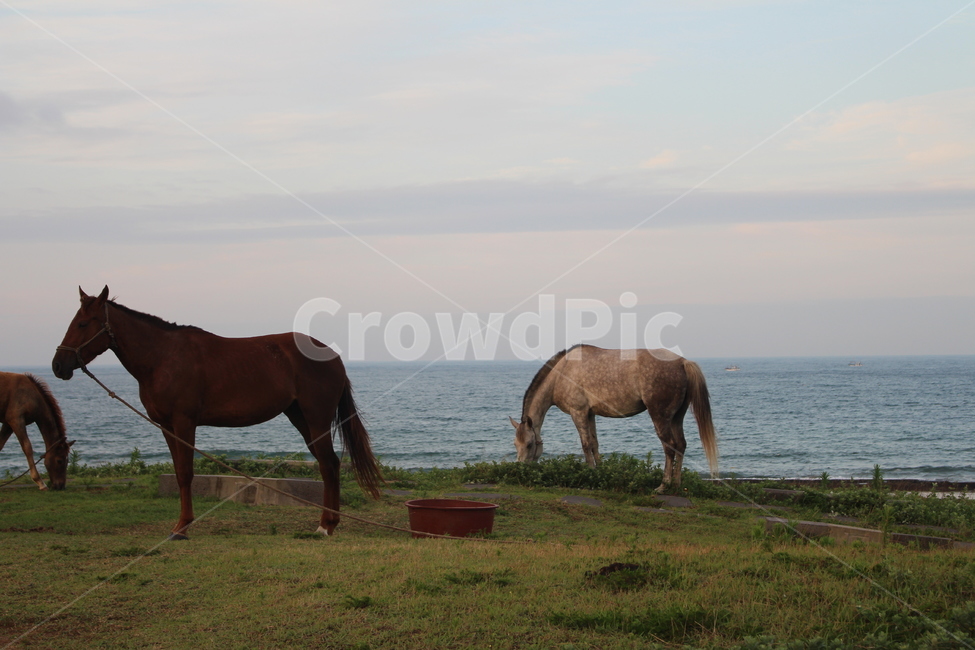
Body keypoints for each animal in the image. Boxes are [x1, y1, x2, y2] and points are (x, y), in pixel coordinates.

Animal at [51, 286, 383, 540]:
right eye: (73, 321)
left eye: (84, 323)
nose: (58, 365)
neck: (162, 358)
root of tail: (332, 355)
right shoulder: (166, 426)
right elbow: (179, 472)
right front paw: (180, 524)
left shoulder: (184, 423)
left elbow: (186, 473)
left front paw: (183, 527)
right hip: (300, 417)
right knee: (329, 465)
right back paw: (329, 523)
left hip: (316, 418)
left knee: (328, 465)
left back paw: (325, 526)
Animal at [509, 344, 718, 493]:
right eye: (515, 444)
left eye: (529, 444)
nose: (520, 469)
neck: (563, 373)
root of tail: (682, 362)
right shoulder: (590, 413)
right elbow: (594, 444)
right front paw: (600, 472)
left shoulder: (578, 413)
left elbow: (585, 444)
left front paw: (590, 474)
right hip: (676, 417)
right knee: (681, 445)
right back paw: (676, 483)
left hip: (660, 416)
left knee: (670, 447)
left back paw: (663, 485)